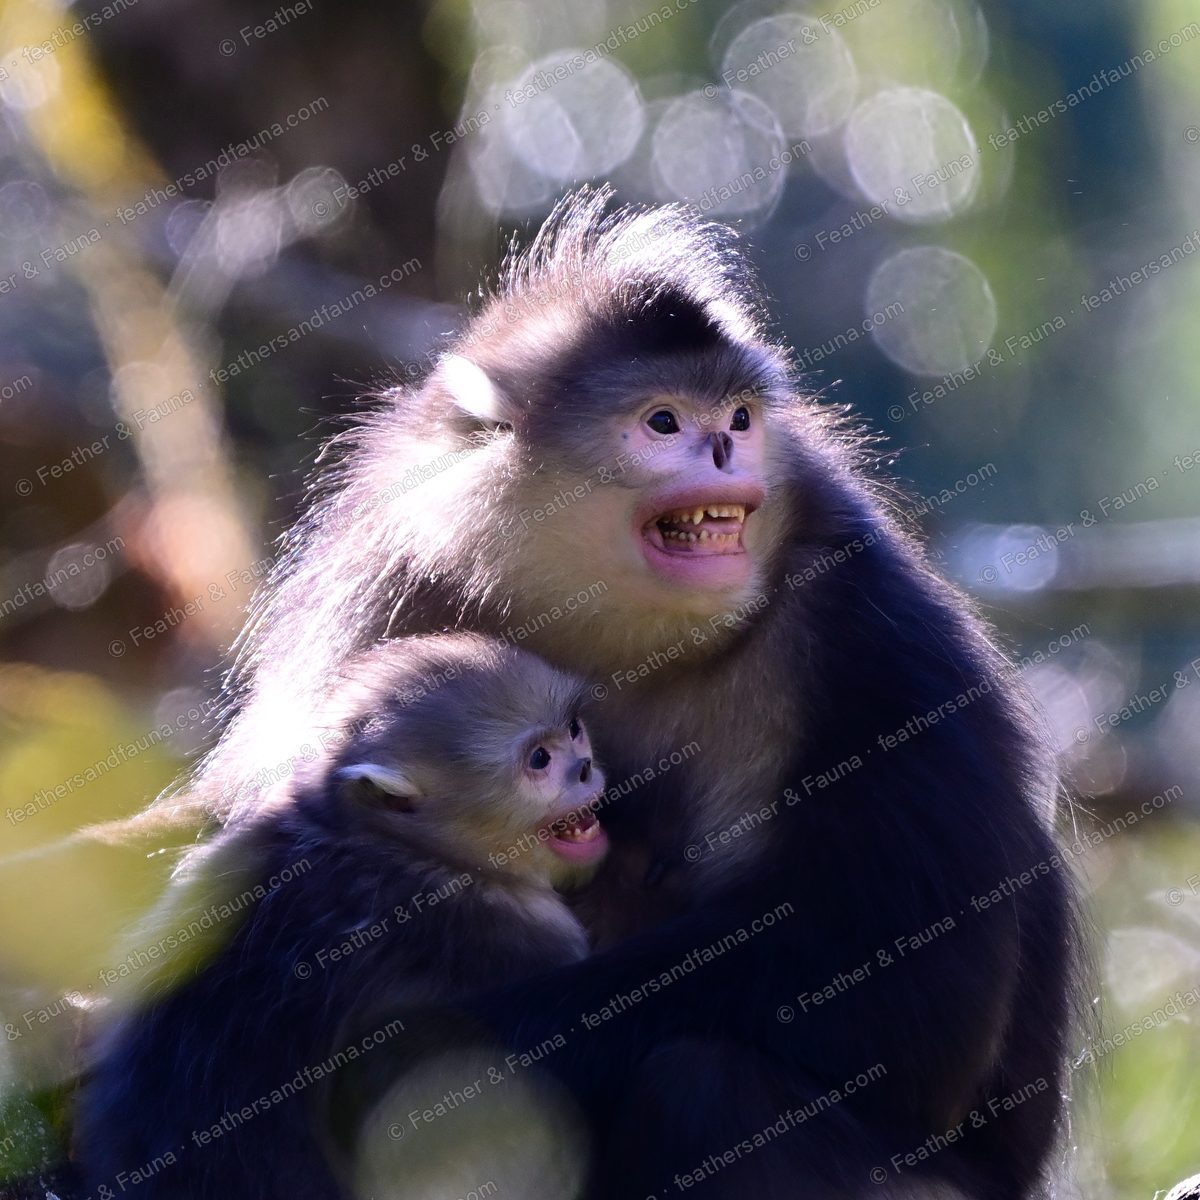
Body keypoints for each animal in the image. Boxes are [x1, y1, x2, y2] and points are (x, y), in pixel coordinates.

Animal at [174, 187, 1080, 1199]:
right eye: (664, 423)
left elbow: (905, 1000)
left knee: (700, 1082)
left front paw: (411, 1052)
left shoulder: (874, 629)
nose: (724, 449)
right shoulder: (390, 579)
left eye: (739, 416)